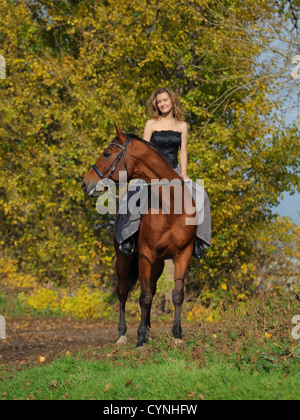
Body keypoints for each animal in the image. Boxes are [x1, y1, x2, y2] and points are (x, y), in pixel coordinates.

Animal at [82, 126, 197, 350]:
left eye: (107, 153)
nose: (85, 183)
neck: (171, 206)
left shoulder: (183, 254)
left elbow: (176, 295)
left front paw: (177, 336)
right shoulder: (145, 254)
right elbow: (144, 297)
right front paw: (140, 339)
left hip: (158, 264)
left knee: (151, 289)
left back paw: (149, 332)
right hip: (123, 258)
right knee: (123, 292)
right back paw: (123, 335)